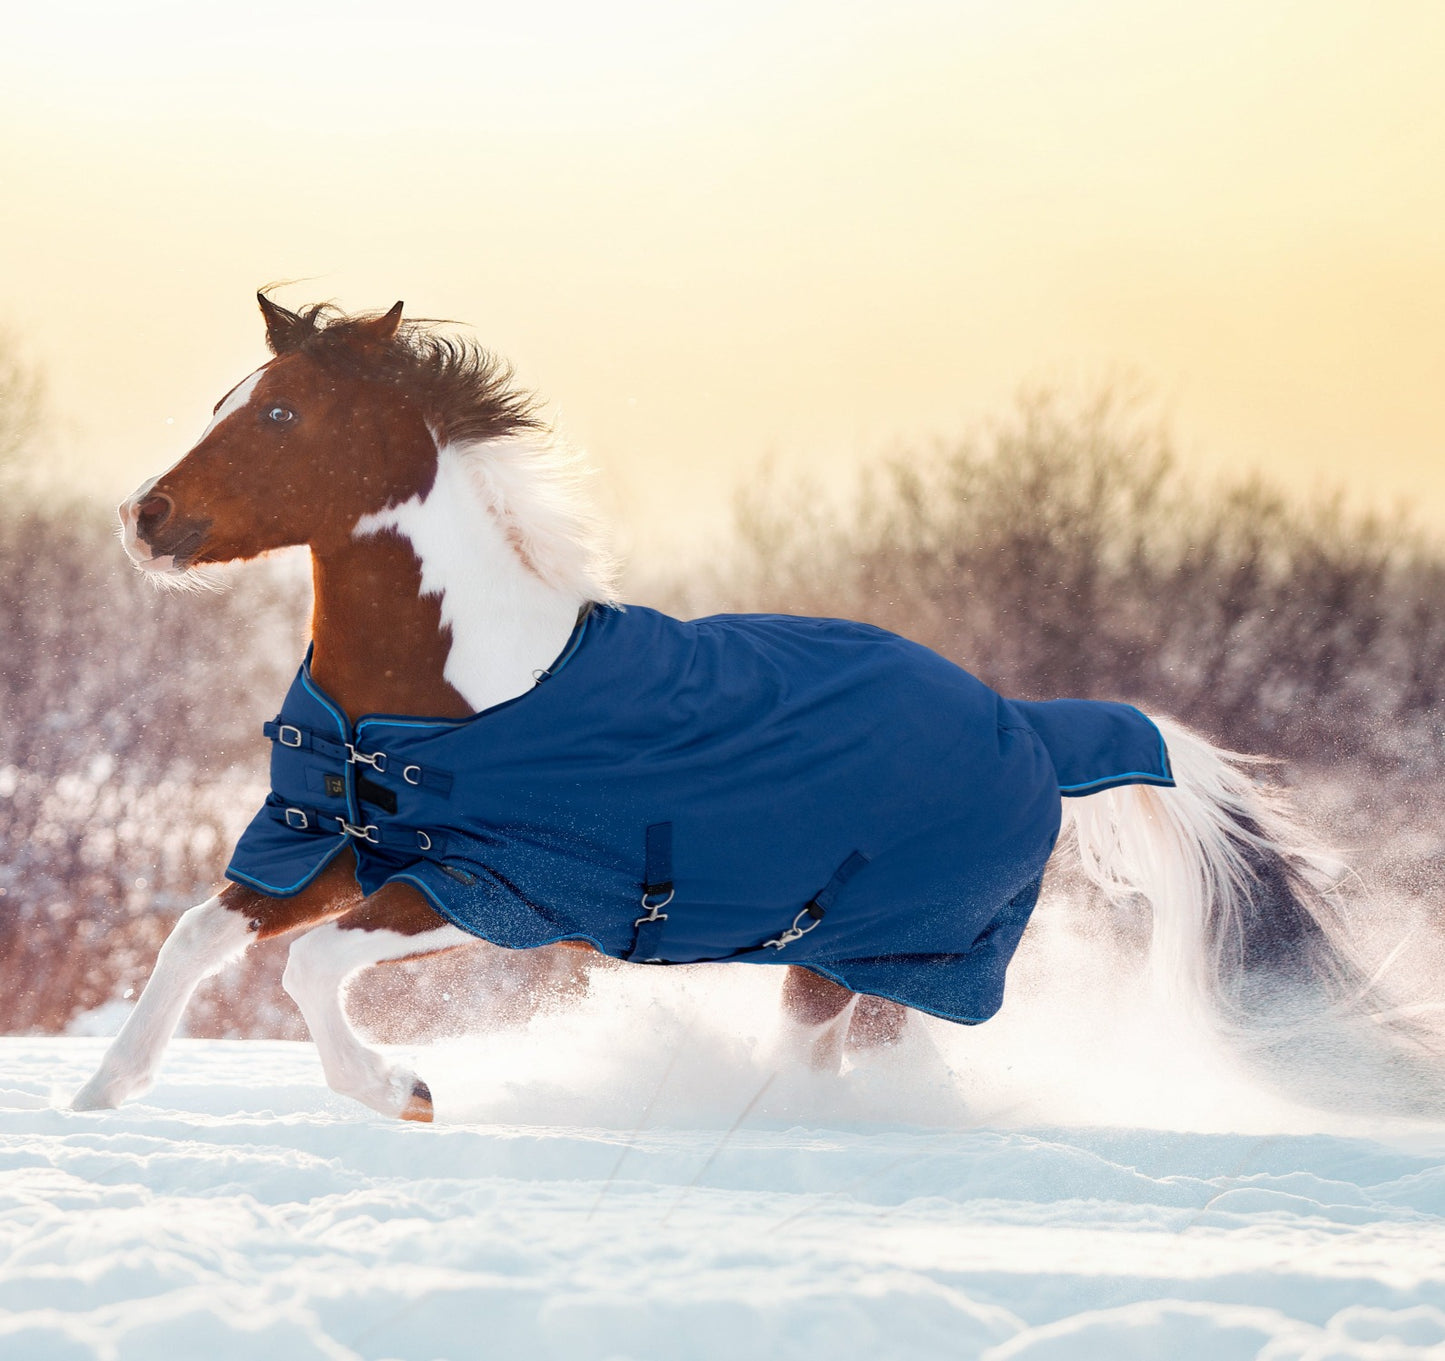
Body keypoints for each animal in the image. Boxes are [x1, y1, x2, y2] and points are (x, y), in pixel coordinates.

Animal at [73, 293, 1358, 1126]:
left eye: (281, 414)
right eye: (231, 397)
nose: (145, 517)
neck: (447, 698)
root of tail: (1035, 722)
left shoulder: (503, 890)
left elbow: (305, 967)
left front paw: (406, 1090)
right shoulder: (333, 845)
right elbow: (198, 932)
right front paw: (97, 1092)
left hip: (862, 953)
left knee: (820, 1068)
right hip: (866, 968)